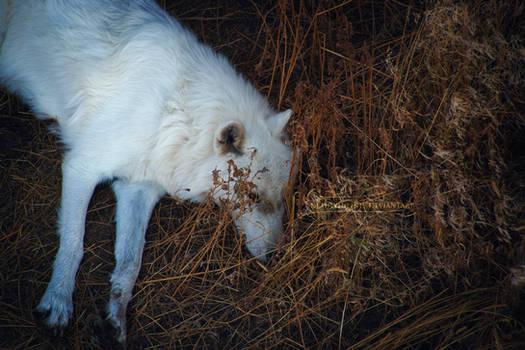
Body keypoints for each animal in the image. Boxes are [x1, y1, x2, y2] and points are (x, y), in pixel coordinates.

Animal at [0, 0, 292, 344]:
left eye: (283, 198)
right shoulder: (81, 167)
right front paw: (58, 302)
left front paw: (115, 320)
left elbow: (130, 263)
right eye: (253, 196)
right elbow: (74, 243)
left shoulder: (137, 188)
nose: (277, 256)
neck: (175, 113)